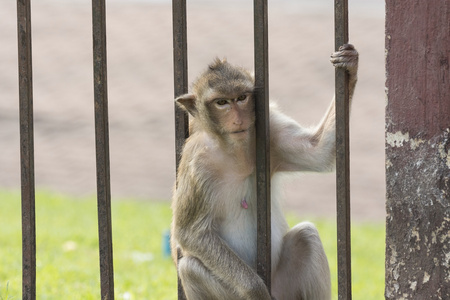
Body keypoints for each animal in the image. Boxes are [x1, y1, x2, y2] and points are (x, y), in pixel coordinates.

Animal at [171, 44, 360, 300]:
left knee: (306, 236)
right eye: (222, 102)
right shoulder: (196, 162)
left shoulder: (271, 129)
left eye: (241, 98)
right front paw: (257, 290)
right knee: (189, 267)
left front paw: (350, 66)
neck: (235, 150)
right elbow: (190, 233)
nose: (238, 119)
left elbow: (319, 151)